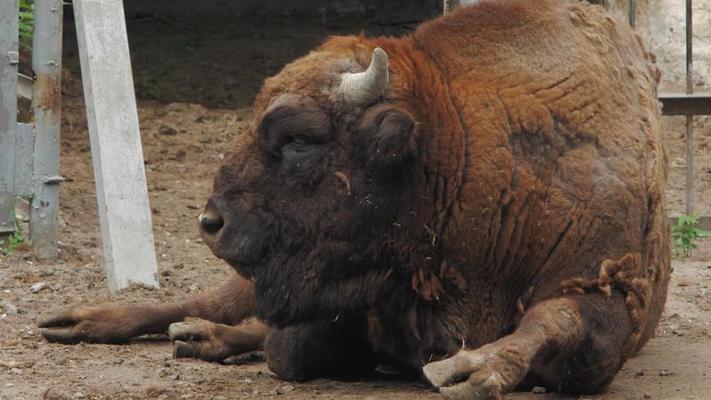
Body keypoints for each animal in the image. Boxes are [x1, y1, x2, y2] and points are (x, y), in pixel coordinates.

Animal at [40, 1, 672, 398]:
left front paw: (471, 370)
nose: (211, 221)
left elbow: (559, 327)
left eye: (300, 139)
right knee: (209, 301)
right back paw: (85, 321)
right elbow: (289, 347)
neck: (460, 146)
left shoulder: (607, 292)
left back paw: (202, 337)